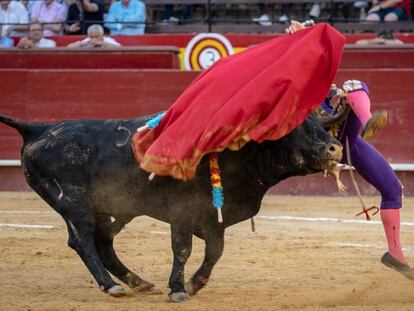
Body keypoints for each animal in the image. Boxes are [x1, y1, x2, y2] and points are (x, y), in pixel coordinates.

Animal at [0, 114, 342, 302]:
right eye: (296, 129)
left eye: (322, 126)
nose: (334, 147)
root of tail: (39, 129)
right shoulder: (182, 211)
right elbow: (183, 248)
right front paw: (178, 288)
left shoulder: (213, 217)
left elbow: (214, 252)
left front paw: (194, 283)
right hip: (74, 202)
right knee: (82, 241)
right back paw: (111, 286)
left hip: (115, 208)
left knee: (103, 243)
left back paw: (138, 282)